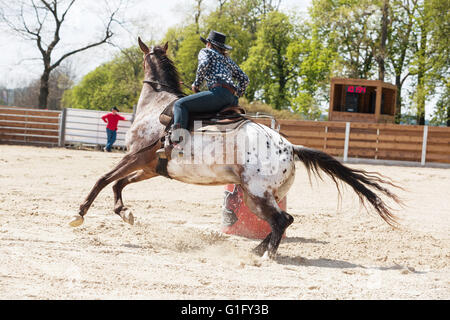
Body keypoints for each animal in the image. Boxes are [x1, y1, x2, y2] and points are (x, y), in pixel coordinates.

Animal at [70, 39, 400, 260]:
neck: (156, 107)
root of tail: (291, 147)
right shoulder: (151, 167)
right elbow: (119, 184)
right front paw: (124, 212)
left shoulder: (135, 156)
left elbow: (103, 180)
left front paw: (79, 214)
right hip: (264, 195)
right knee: (284, 220)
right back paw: (256, 250)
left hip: (256, 194)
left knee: (281, 221)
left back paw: (264, 257)